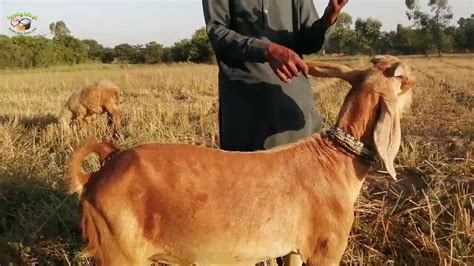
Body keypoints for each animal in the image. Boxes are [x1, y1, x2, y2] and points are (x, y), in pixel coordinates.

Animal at [66, 55, 414, 264]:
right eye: (405, 82)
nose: (414, 73)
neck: (334, 161)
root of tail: (98, 174)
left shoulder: (295, 248)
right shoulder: (326, 249)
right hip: (119, 252)